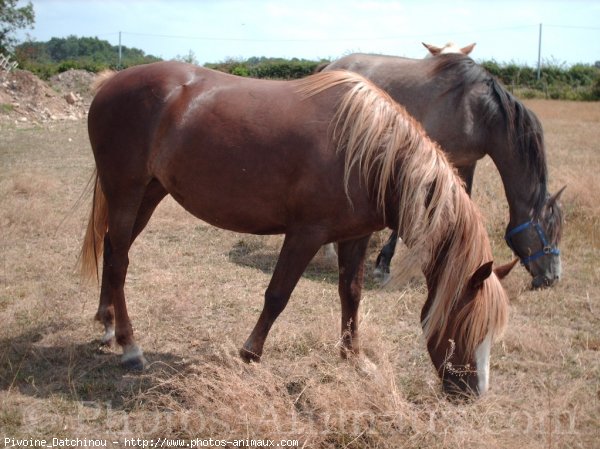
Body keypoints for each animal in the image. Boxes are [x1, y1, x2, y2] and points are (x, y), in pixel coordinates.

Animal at [79, 61, 510, 394]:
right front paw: (250, 355)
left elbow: (351, 294)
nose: (474, 393)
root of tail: (110, 83)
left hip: (150, 192)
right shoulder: (306, 234)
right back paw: (130, 347)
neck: (368, 153)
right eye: (468, 324)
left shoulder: (355, 236)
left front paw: (354, 358)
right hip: (126, 191)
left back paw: (107, 325)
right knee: (119, 261)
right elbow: (277, 295)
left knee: (113, 248)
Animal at [322, 52, 564, 288]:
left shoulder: (465, 163)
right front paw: (384, 265)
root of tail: (330, 66)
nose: (552, 278)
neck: (476, 111)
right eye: (549, 232)